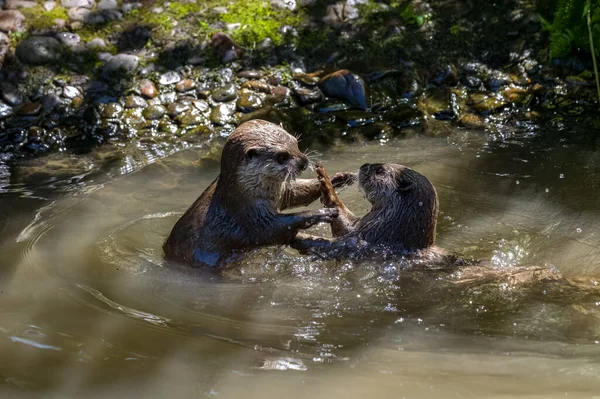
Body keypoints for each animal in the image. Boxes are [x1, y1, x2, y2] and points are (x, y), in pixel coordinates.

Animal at [163, 119, 356, 268]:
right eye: (282, 156)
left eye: (296, 143)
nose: (303, 161)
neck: (243, 194)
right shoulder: (247, 216)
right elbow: (273, 229)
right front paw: (322, 213)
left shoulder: (280, 192)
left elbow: (296, 193)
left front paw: (338, 178)